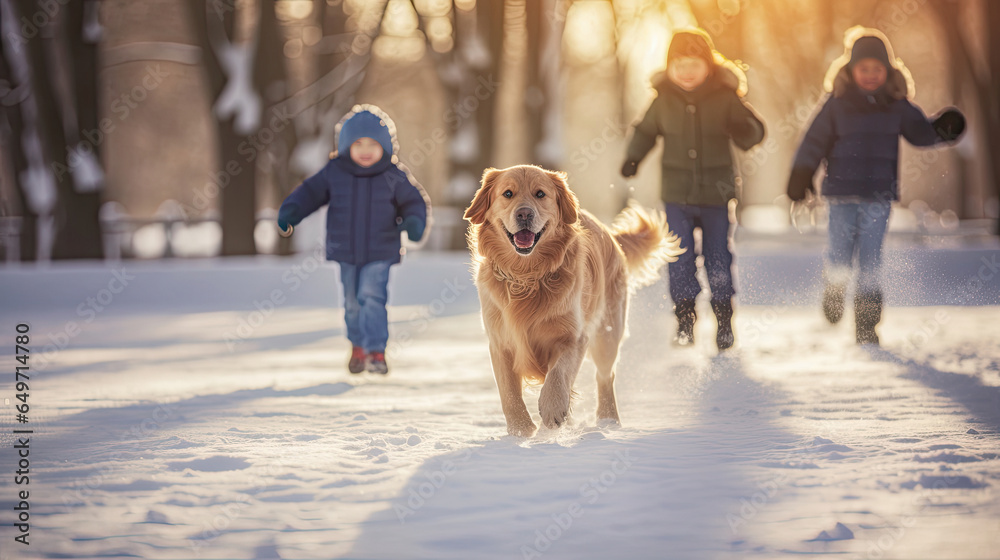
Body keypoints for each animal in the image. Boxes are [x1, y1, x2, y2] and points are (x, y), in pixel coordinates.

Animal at [464, 164, 684, 436]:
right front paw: (521, 431)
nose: (524, 214)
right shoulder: (500, 342)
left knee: (605, 377)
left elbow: (559, 374)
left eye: (540, 194)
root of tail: (610, 234)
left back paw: (608, 422)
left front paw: (552, 411)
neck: (527, 277)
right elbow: (508, 393)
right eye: (507, 194)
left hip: (608, 334)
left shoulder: (574, 337)